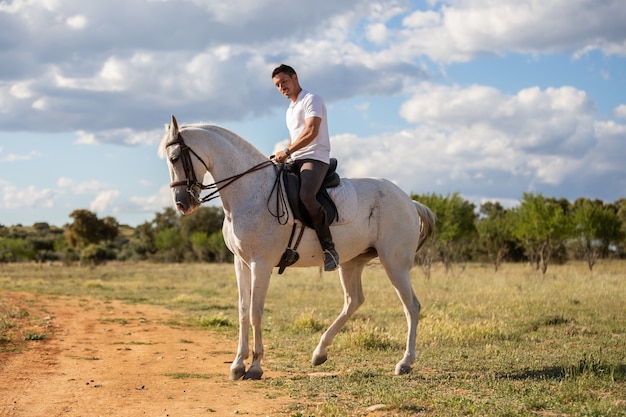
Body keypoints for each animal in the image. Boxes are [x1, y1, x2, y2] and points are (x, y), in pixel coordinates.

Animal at [160, 115, 434, 378]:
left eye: (174, 158)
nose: (182, 204)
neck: (249, 191)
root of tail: (410, 201)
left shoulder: (261, 263)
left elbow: (256, 311)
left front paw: (255, 366)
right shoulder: (241, 262)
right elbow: (243, 311)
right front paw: (238, 364)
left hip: (394, 264)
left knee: (411, 306)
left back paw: (405, 363)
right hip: (351, 262)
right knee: (353, 300)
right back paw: (319, 352)